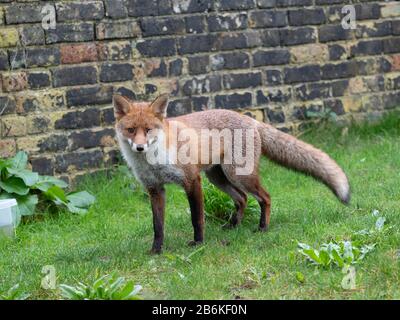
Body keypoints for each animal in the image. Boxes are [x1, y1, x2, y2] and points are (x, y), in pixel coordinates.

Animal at [113, 92, 350, 252]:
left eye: (148, 130)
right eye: (131, 130)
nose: (139, 147)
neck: (152, 160)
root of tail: (251, 119)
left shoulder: (192, 180)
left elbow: (197, 218)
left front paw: (198, 243)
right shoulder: (155, 189)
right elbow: (158, 225)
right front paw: (156, 250)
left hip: (239, 175)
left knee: (265, 197)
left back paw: (262, 228)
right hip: (218, 177)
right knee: (242, 198)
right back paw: (233, 226)